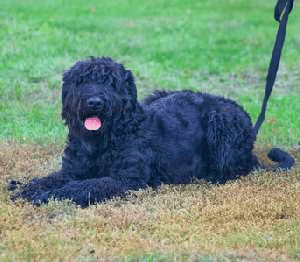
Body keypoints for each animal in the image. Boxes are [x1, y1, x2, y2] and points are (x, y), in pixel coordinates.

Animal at [8, 57, 292, 207]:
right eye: (82, 81)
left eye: (111, 83)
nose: (95, 102)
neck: (104, 140)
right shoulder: (71, 170)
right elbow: (52, 178)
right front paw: (27, 187)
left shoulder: (125, 180)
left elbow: (82, 186)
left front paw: (46, 195)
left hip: (219, 123)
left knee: (240, 166)